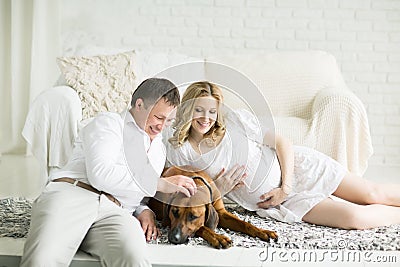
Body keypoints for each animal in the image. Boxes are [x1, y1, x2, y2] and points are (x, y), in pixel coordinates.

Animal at [148, 166, 278, 250]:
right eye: (174, 212)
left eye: (193, 216)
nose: (174, 238)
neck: (195, 182)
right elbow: (203, 227)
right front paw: (218, 237)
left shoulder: (221, 213)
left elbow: (244, 223)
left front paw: (263, 231)